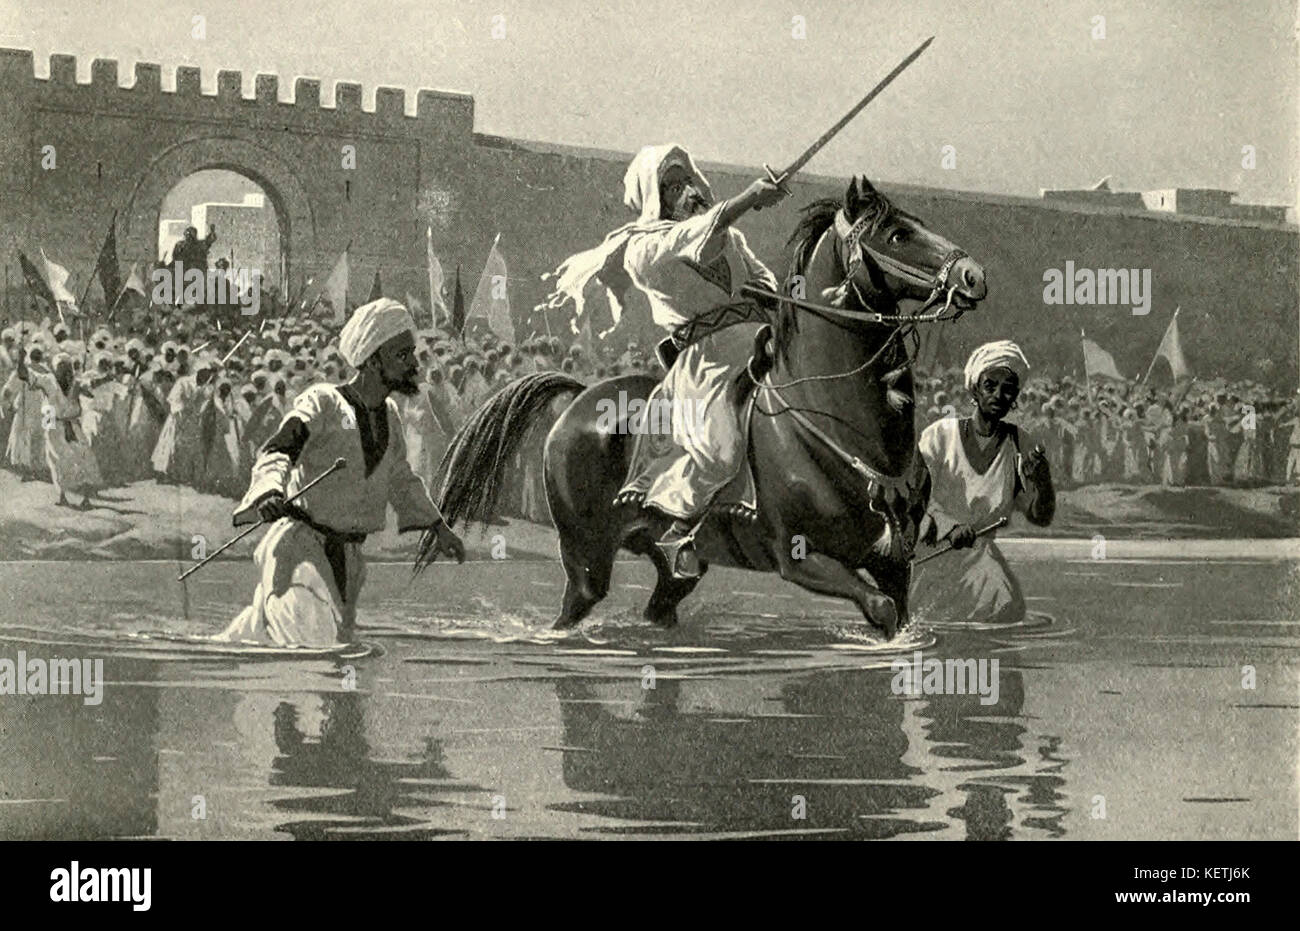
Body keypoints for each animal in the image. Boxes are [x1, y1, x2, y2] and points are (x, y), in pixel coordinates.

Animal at [421, 174, 987, 637]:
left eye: (918, 223)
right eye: (896, 235)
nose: (973, 276)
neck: (847, 426)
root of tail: (578, 396)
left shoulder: (895, 565)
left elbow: (898, 615)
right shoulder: (800, 558)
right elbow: (881, 611)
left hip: (668, 562)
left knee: (661, 604)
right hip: (586, 555)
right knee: (576, 606)